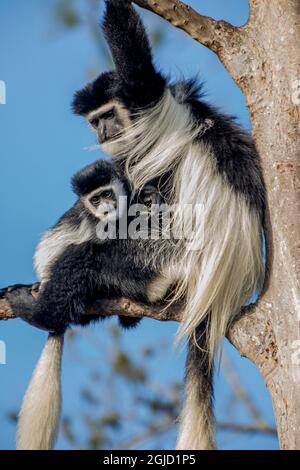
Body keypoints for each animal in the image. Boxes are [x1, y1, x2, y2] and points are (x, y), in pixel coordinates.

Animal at [6, 0, 264, 452]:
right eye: (94, 121)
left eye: (106, 115)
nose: (102, 131)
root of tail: (221, 291)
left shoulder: (145, 103)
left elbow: (132, 54)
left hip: (168, 259)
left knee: (92, 258)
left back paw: (40, 309)